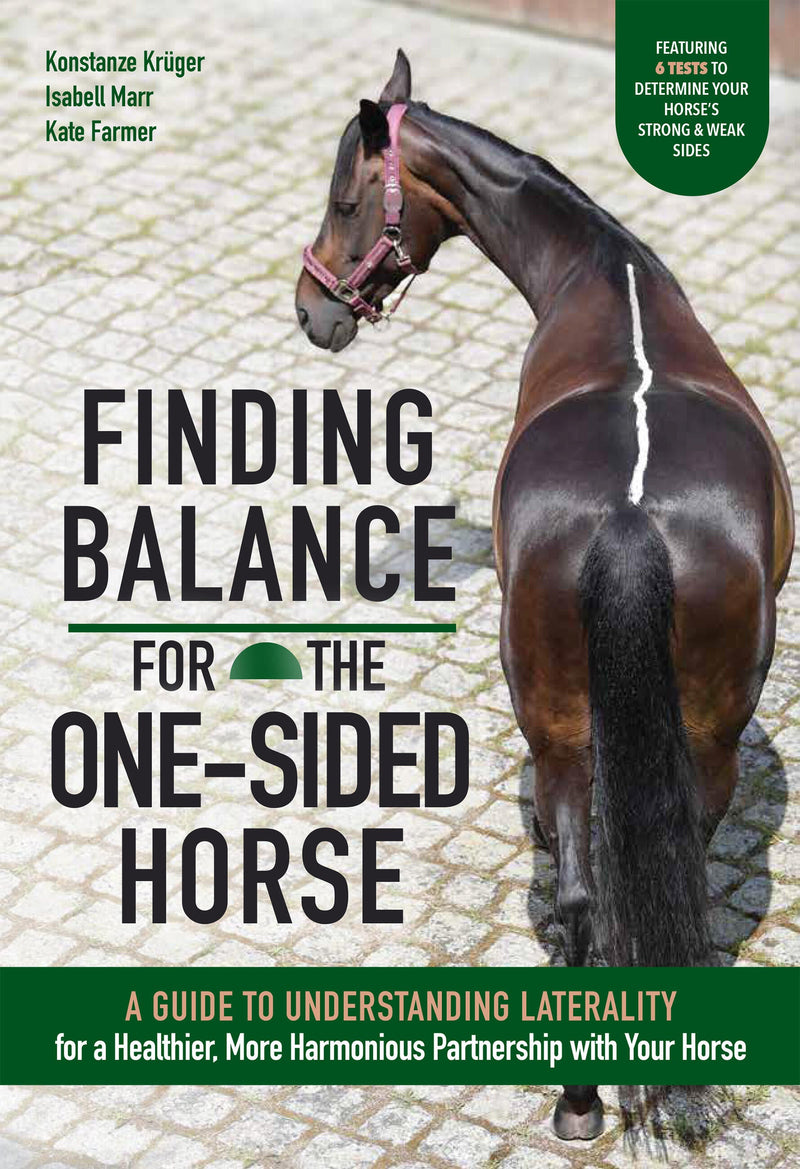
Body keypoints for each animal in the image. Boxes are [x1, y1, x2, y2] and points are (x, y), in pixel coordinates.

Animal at [294, 50, 794, 1140]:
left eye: (346, 199)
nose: (312, 312)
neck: (604, 278)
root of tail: (628, 520)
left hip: (587, 736)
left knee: (595, 893)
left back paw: (580, 1098)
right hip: (651, 740)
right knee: (618, 888)